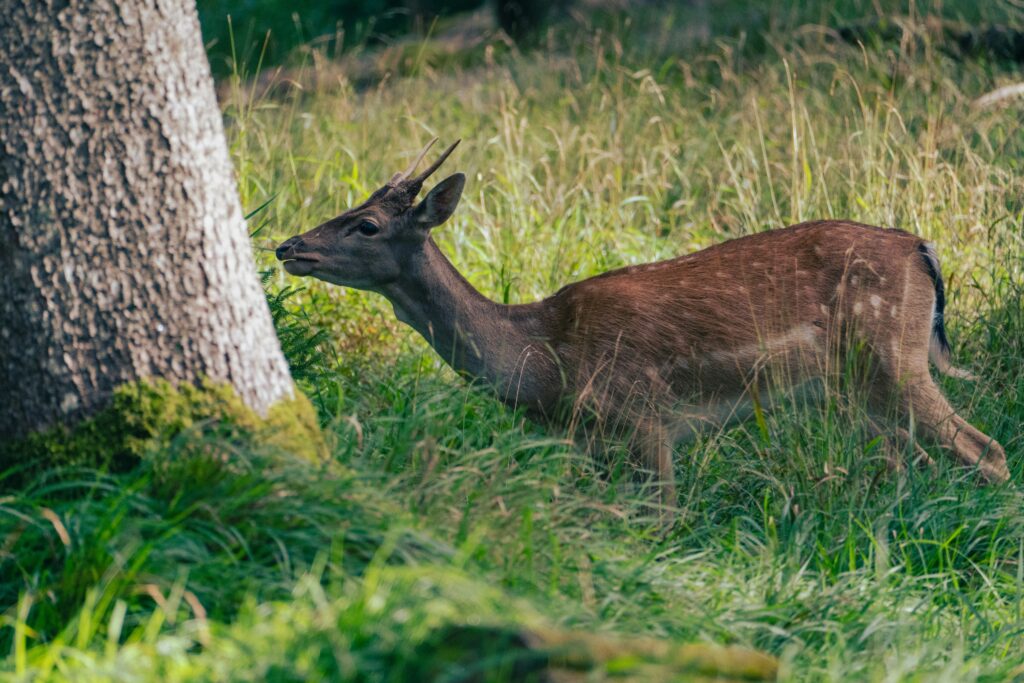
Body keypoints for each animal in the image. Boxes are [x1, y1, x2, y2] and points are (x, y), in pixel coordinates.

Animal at [275, 139, 1010, 507]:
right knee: (916, 457)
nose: (288, 245)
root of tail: (922, 248)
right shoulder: (593, 442)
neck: (544, 362)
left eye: (368, 224)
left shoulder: (644, 416)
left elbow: (662, 518)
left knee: (986, 450)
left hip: (890, 355)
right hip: (858, 388)